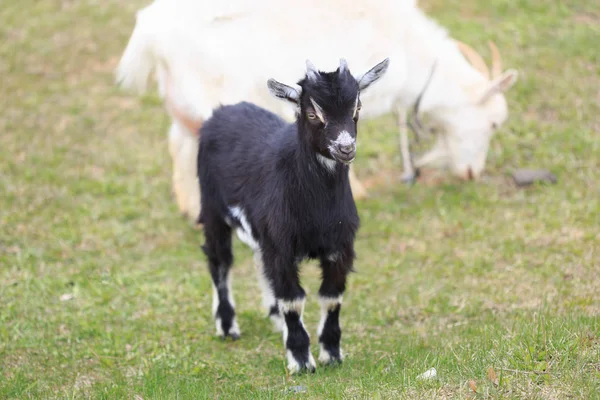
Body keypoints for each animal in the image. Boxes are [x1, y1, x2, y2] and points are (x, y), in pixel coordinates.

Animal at [116, 0, 516, 223]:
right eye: (494, 123)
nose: (471, 173)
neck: (405, 46)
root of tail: (149, 35)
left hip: (182, 101)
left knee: (179, 142)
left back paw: (191, 208)